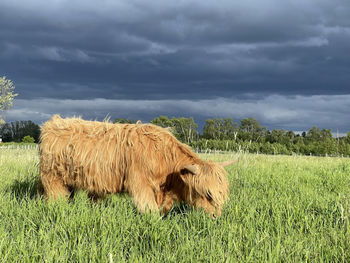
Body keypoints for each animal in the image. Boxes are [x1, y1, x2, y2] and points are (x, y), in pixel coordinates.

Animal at [38, 115, 237, 217]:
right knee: (57, 197)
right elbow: (149, 208)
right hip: (52, 177)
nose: (216, 216)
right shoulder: (140, 183)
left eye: (222, 194)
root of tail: (53, 122)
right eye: (208, 194)